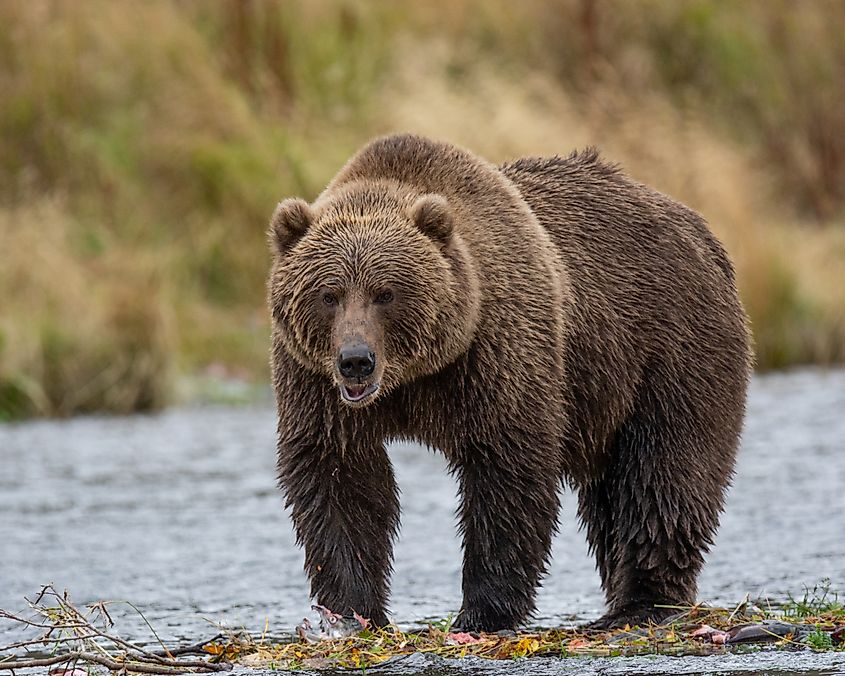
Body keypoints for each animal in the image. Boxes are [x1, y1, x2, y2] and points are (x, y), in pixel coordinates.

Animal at [267, 133, 752, 632]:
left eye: (386, 293)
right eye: (329, 294)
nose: (356, 361)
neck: (414, 378)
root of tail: (698, 227)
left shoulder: (496, 352)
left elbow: (507, 468)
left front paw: (481, 612)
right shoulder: (315, 383)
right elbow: (340, 476)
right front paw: (350, 612)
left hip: (669, 346)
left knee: (665, 470)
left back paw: (642, 602)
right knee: (610, 493)